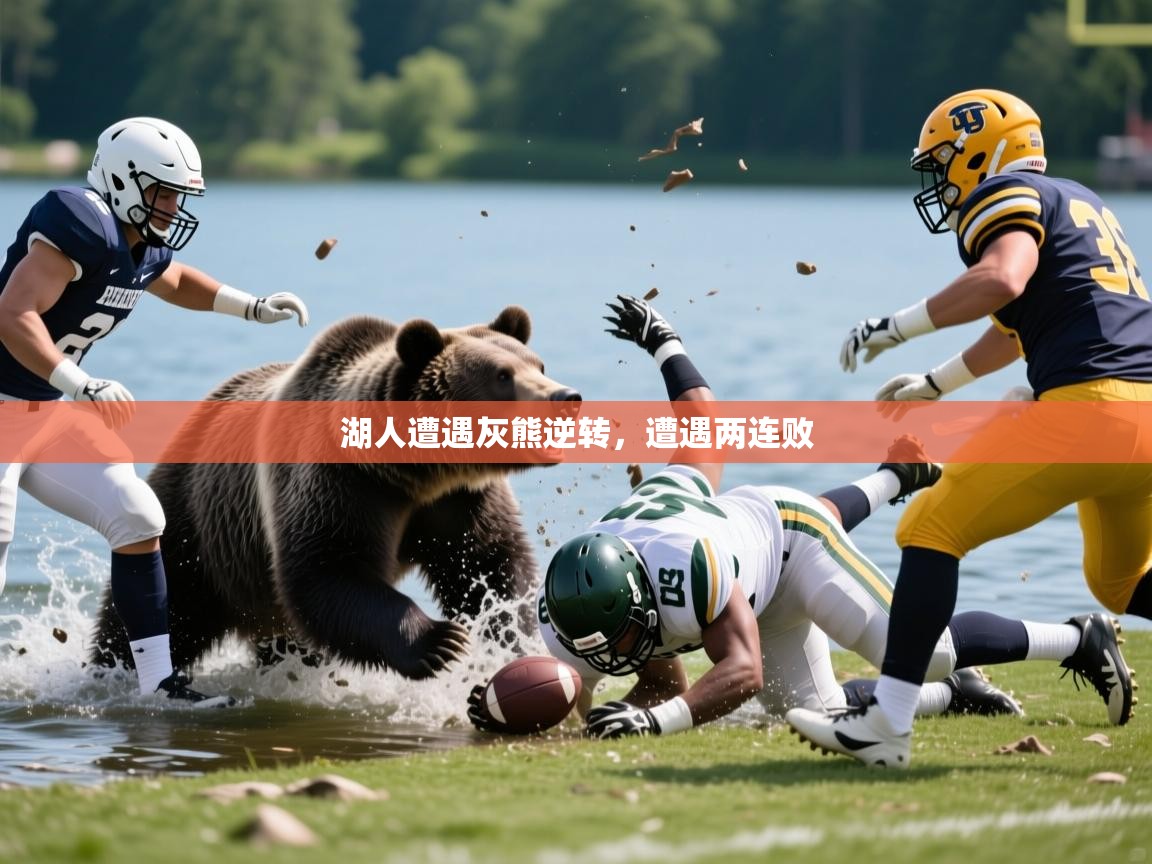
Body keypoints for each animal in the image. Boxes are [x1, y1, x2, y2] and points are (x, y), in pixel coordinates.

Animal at [90, 305, 580, 680]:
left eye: (538, 364)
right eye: (502, 376)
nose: (566, 396)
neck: (413, 473)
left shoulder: (459, 499)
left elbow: (488, 564)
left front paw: (509, 635)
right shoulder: (343, 483)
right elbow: (327, 570)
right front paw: (439, 641)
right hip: (200, 525)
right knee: (169, 602)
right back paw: (113, 669)